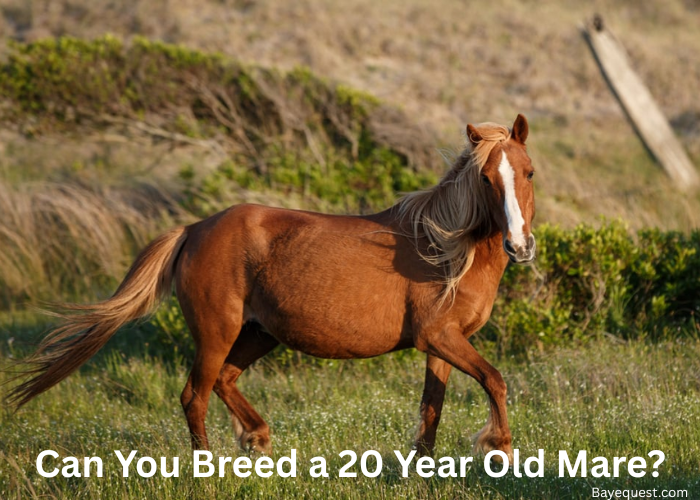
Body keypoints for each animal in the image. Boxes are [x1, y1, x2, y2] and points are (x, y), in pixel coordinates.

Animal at [8, 114, 536, 461]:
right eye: (485, 178)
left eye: (528, 172)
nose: (519, 245)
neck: (445, 250)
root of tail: (194, 229)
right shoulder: (439, 337)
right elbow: (495, 379)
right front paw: (501, 450)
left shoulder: (441, 345)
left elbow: (432, 410)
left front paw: (422, 468)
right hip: (217, 333)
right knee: (195, 395)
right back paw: (207, 467)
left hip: (260, 333)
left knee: (223, 382)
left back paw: (258, 438)